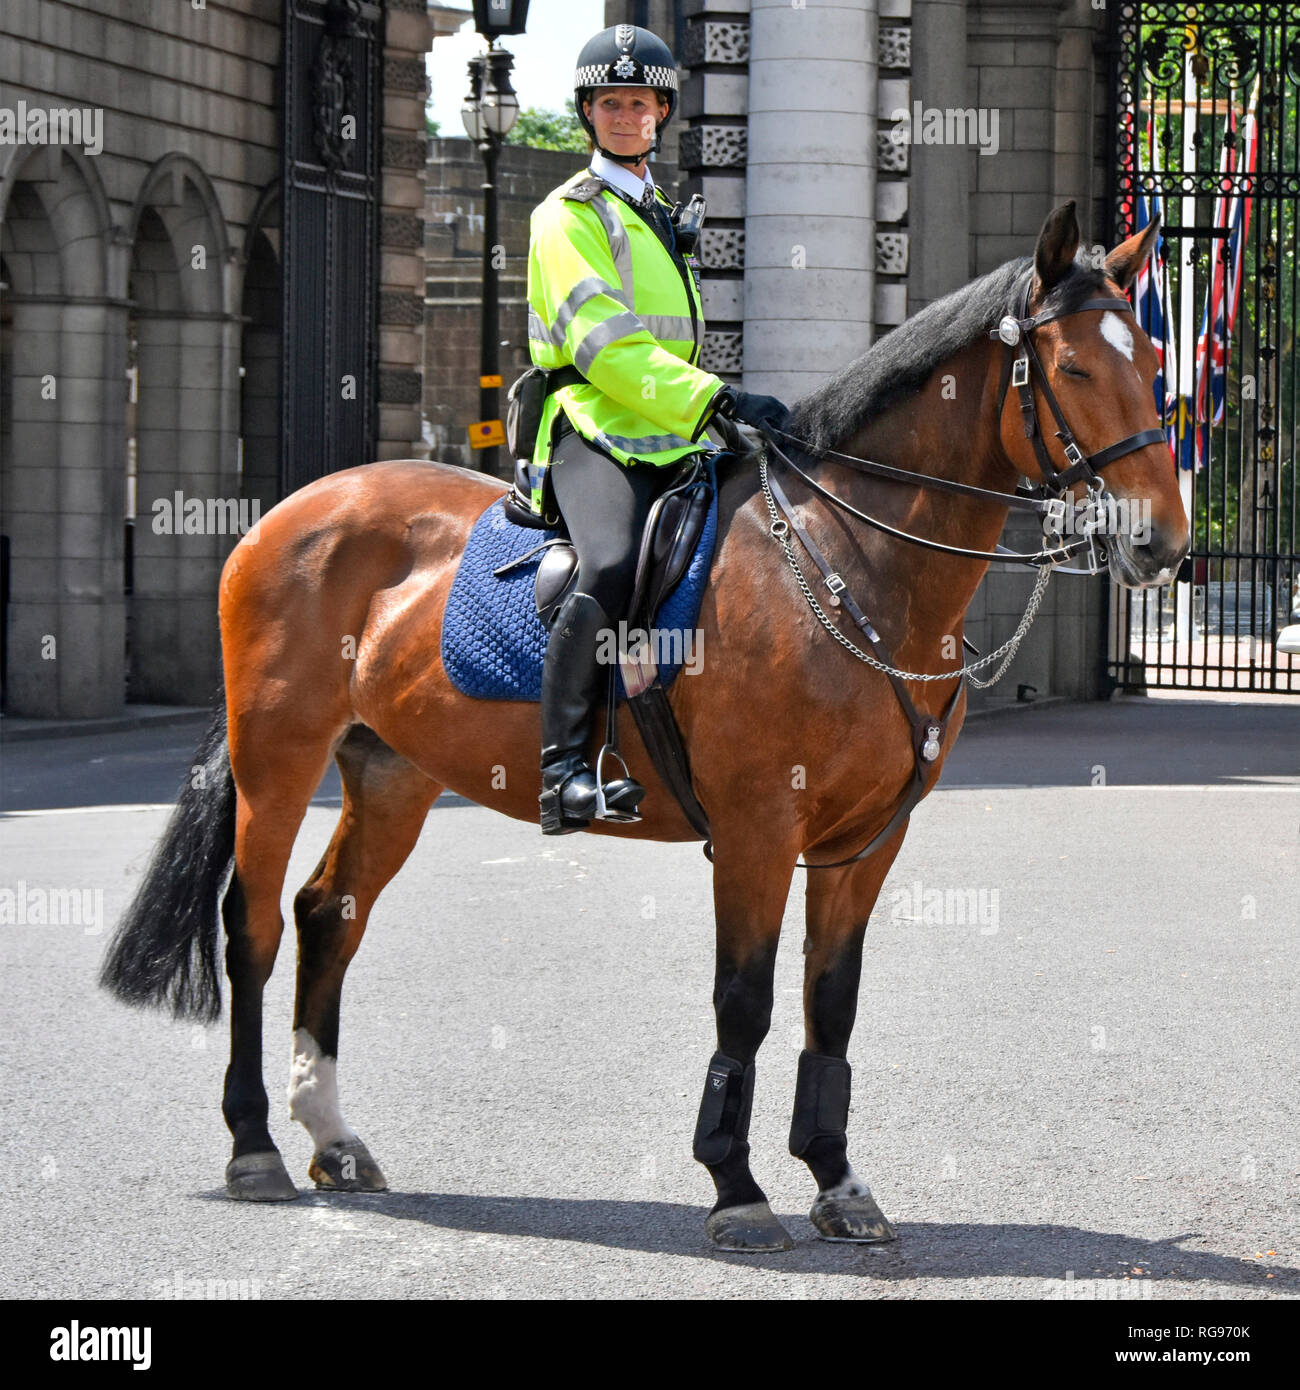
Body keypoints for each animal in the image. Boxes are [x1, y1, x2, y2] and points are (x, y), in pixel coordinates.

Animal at [101, 202, 1190, 1251]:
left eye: (1153, 366)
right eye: (1075, 367)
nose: (1163, 543)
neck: (849, 558)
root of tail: (293, 509)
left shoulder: (864, 840)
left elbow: (830, 1002)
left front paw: (835, 1179)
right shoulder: (756, 829)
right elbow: (745, 1001)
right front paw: (736, 1186)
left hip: (394, 771)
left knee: (330, 914)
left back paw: (331, 1136)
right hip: (278, 757)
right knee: (251, 926)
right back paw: (253, 1145)